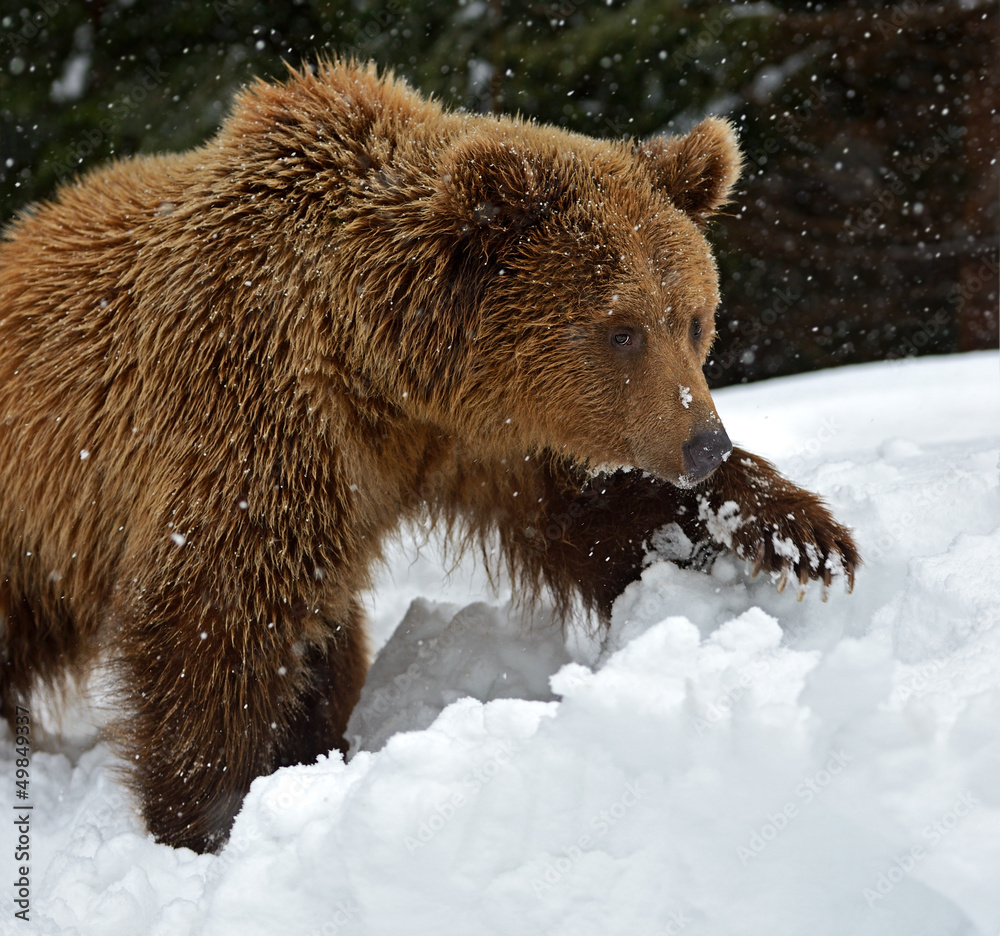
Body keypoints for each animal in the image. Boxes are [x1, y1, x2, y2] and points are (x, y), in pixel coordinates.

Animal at [1, 56, 860, 848]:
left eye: (693, 317)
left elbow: (594, 514)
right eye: (620, 329)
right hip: (31, 530)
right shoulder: (260, 413)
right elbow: (215, 610)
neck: (383, 369)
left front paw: (793, 536)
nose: (704, 443)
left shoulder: (484, 440)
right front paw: (207, 818)